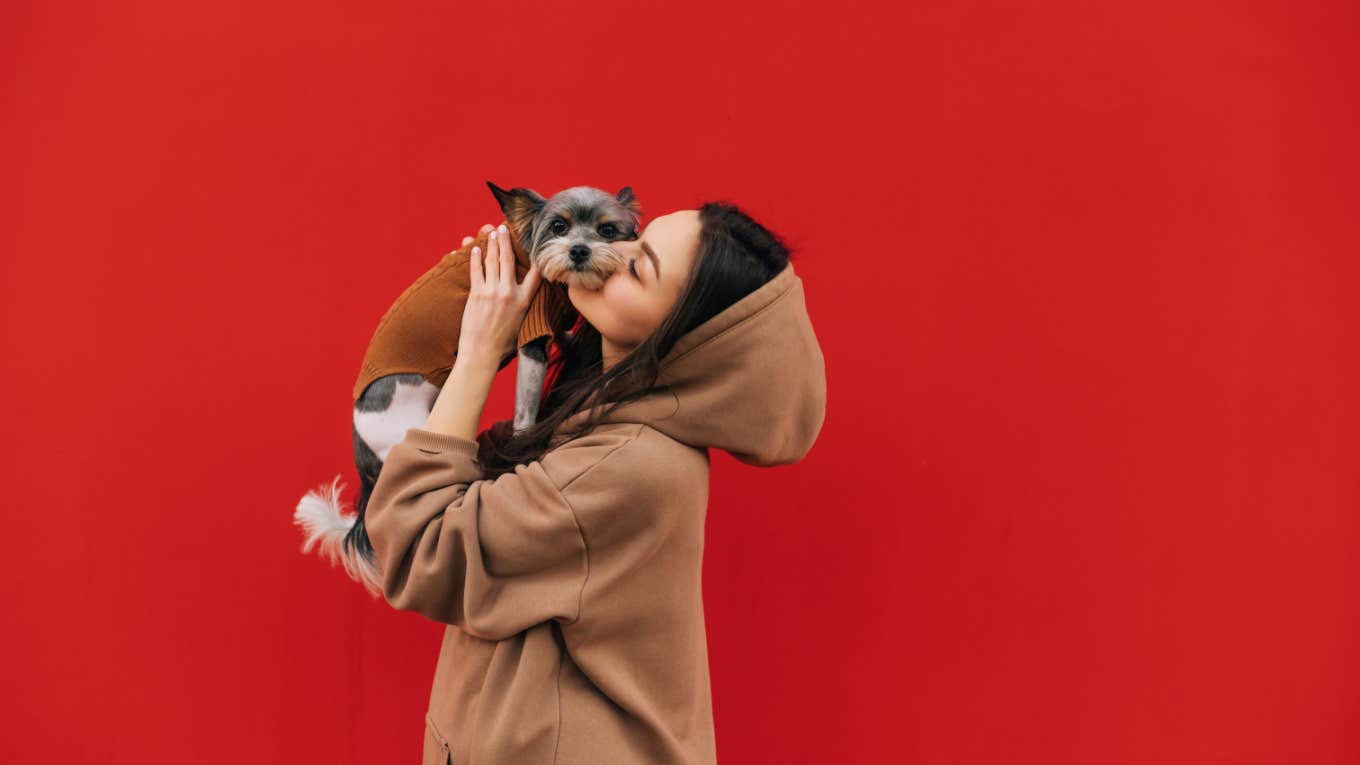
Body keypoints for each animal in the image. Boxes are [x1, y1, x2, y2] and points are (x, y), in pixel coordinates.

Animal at [292, 181, 641, 593]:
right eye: (559, 226)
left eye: (608, 231)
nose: (579, 250)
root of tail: (361, 450)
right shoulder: (531, 333)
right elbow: (526, 406)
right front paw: (526, 439)